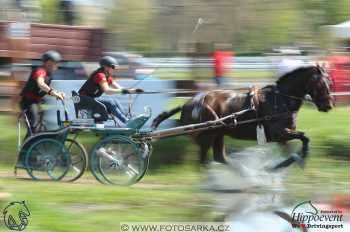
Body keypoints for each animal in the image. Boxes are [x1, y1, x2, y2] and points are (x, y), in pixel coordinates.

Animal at [151, 64, 334, 169]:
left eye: (329, 82)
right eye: (320, 83)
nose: (328, 105)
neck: (280, 99)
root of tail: (188, 104)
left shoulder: (282, 137)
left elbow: (292, 149)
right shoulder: (280, 133)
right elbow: (305, 138)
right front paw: (301, 158)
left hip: (218, 134)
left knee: (220, 158)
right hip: (208, 135)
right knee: (203, 160)